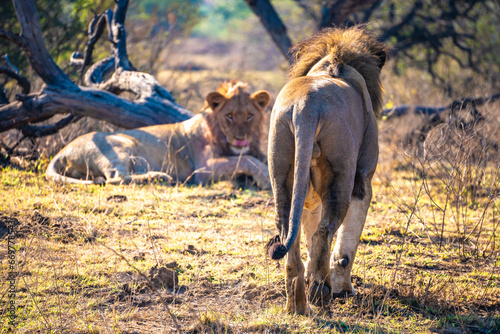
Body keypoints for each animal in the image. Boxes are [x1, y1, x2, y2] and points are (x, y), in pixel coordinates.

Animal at [46, 81, 274, 189]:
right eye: (229, 116)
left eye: (250, 116)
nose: (241, 139)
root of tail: (62, 152)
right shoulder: (203, 168)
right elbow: (247, 160)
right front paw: (265, 180)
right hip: (121, 144)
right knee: (116, 178)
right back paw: (161, 177)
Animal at [268, 26, 388, 314]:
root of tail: (305, 107)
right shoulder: (363, 177)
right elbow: (344, 245)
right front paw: (343, 289)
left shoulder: (309, 196)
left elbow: (309, 235)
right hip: (341, 175)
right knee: (326, 230)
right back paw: (321, 294)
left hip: (281, 168)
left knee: (289, 231)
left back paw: (298, 305)